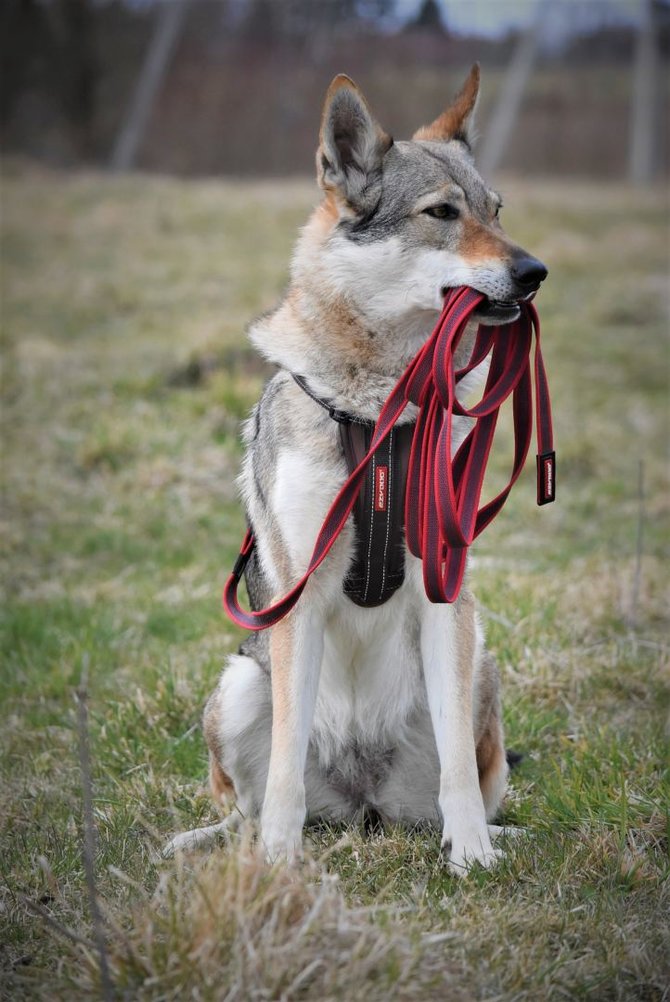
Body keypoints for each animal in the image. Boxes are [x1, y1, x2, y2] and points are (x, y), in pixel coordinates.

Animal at [166, 66, 544, 873]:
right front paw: (279, 867)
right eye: (442, 213)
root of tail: (363, 802)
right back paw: (212, 843)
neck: (381, 412)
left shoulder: (444, 586)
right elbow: (281, 779)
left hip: (480, 665)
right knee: (242, 808)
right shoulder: (297, 596)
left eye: (496, 211)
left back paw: (496, 836)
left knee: (465, 786)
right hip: (240, 682)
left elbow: (459, 771)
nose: (535, 273)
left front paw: (472, 856)